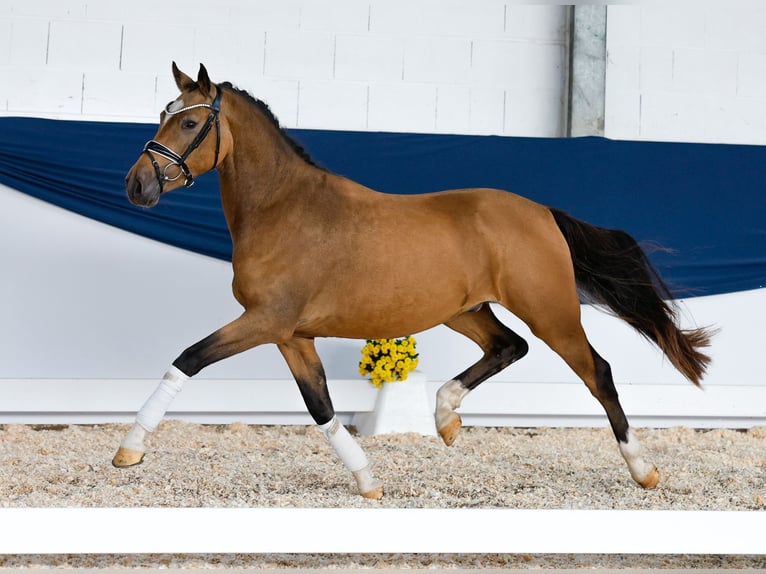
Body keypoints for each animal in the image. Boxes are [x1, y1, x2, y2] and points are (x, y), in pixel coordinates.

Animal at [117, 63, 716, 500]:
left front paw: (129, 450)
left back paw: (644, 471)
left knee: (598, 372)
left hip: (552, 313)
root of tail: (543, 212)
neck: (282, 209)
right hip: (466, 310)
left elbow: (188, 359)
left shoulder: (265, 321)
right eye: (164, 114)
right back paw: (446, 417)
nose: (136, 185)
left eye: (189, 123)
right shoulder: (292, 335)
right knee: (508, 347)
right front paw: (367, 481)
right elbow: (321, 407)